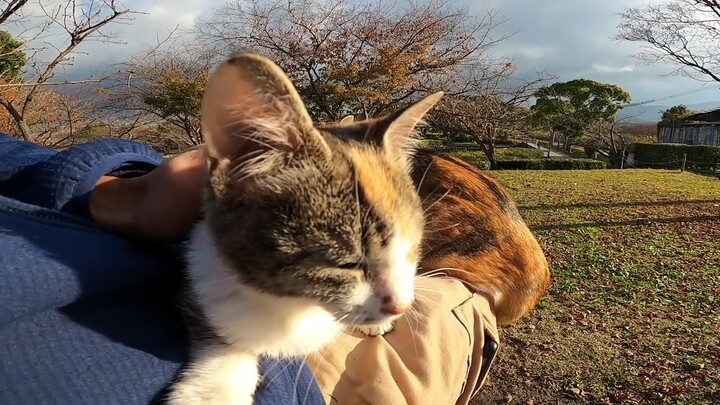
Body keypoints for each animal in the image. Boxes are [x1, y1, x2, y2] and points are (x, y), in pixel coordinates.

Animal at [167, 52, 444, 402]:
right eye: (348, 264)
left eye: (412, 249)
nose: (402, 305)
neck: (300, 302)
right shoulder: (199, 267)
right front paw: (213, 391)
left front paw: (372, 323)